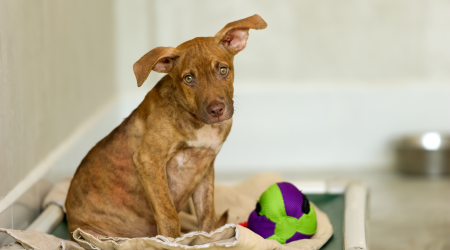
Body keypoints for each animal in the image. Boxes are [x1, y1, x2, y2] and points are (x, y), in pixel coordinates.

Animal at [65, 14, 266, 239]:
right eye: (188, 79)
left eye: (223, 70)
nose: (216, 110)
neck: (195, 121)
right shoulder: (149, 160)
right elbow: (168, 214)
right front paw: (173, 242)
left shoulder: (206, 167)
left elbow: (207, 215)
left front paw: (209, 239)